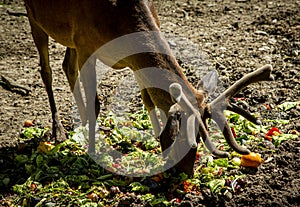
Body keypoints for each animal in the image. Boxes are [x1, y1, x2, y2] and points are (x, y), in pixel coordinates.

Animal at [22, 0, 274, 175]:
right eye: (185, 137)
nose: (186, 172)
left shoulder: (134, 60)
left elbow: (147, 98)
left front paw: (153, 138)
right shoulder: (85, 45)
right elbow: (96, 104)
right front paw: (93, 154)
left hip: (67, 37)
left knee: (67, 65)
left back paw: (81, 125)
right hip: (34, 18)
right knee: (47, 70)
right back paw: (59, 130)